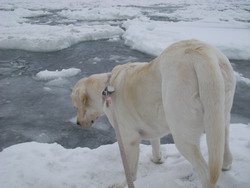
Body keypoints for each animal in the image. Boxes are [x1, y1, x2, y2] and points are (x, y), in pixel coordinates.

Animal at [71, 39, 235, 188]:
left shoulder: (128, 137)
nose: (77, 123)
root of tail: (201, 54)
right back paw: (225, 165)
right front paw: (157, 159)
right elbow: (155, 141)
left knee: (207, 174)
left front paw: (122, 183)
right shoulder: (151, 125)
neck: (106, 87)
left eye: (76, 106)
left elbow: (130, 169)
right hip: (221, 113)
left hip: (181, 128)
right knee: (224, 143)